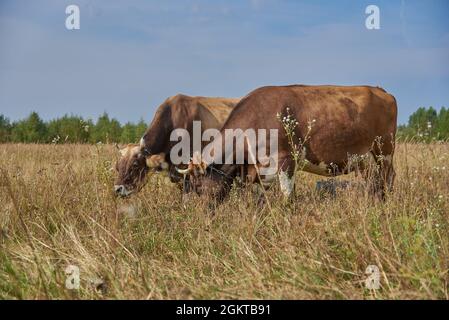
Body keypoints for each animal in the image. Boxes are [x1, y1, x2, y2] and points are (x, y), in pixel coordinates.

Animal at [177, 84, 398, 202]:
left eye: (197, 187)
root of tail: (380, 90)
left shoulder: (286, 161)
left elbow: (287, 195)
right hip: (365, 160)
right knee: (373, 181)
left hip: (384, 152)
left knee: (388, 177)